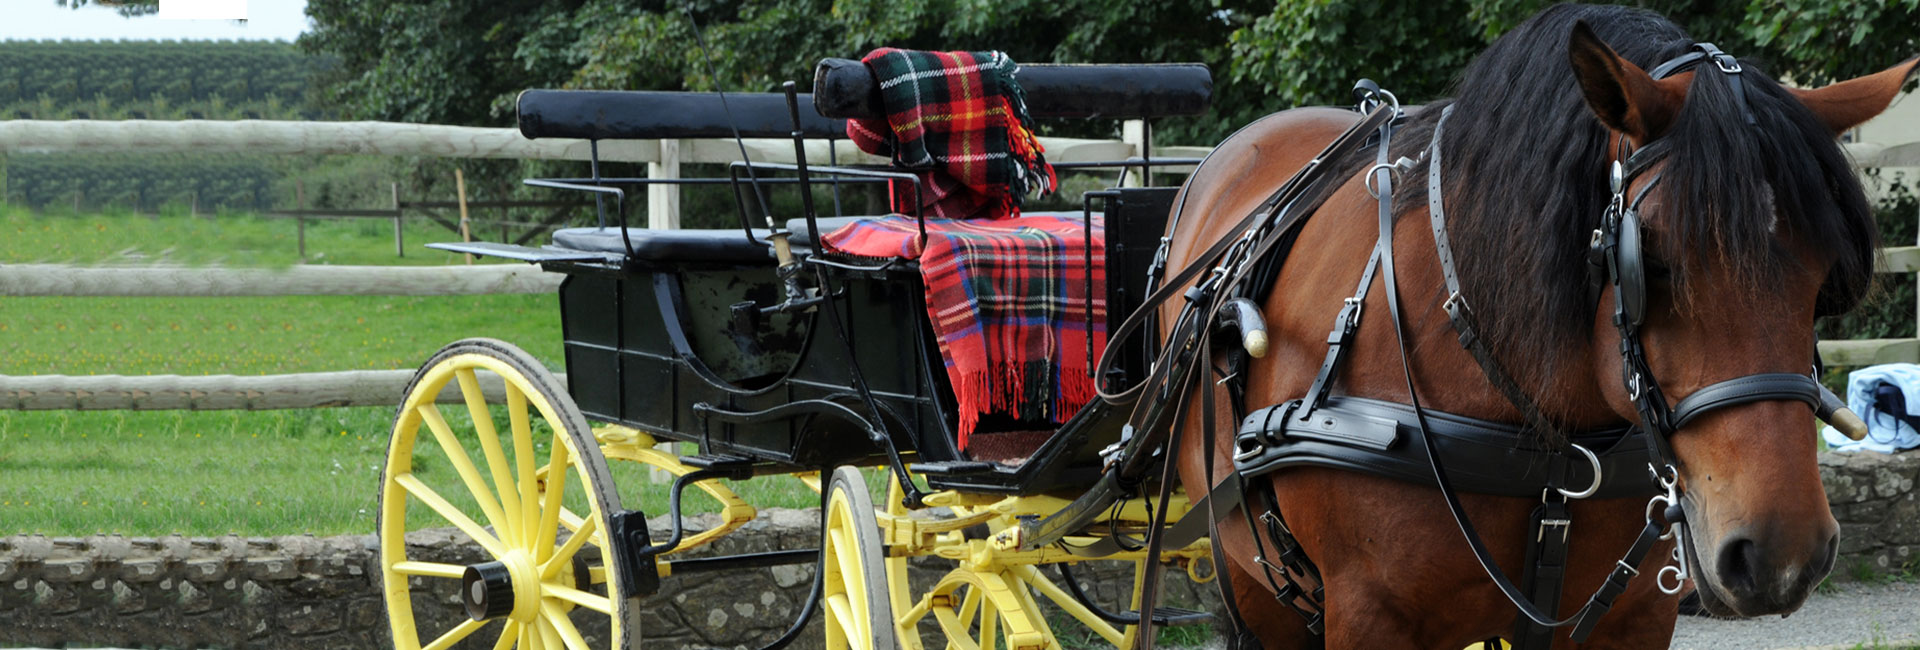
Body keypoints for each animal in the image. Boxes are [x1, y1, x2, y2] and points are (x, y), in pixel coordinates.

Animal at [1167, 5, 1920, 650]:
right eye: (1655, 263)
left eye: (1826, 278)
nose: (1781, 554)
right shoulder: (1368, 616)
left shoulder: (1633, 620)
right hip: (1253, 584)